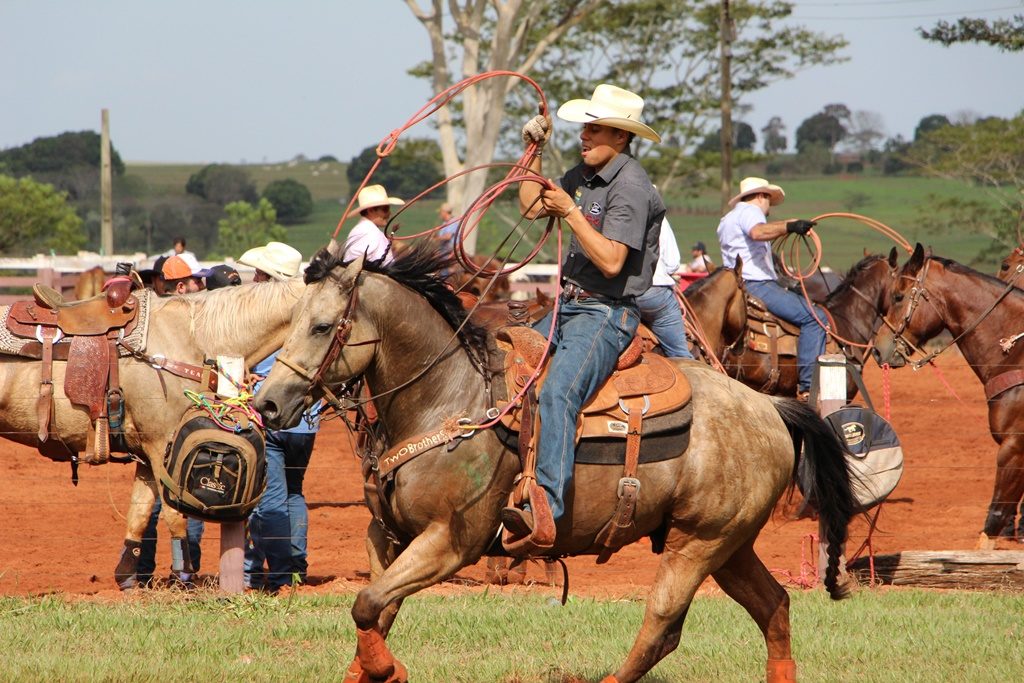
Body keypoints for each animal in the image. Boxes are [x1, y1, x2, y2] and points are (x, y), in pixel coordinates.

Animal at [0, 278, 303, 589]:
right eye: (317, 327)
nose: (274, 406)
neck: (193, 338)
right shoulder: (160, 447)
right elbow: (174, 515)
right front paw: (184, 577)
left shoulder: (148, 455)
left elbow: (140, 511)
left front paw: (127, 578)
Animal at [253, 244, 856, 683]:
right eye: (291, 321)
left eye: (323, 326)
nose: (268, 404)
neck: (447, 398)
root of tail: (769, 408)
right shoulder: (387, 537)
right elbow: (376, 610)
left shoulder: (450, 541)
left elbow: (366, 604)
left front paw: (388, 670)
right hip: (729, 544)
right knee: (774, 605)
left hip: (699, 543)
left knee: (663, 624)